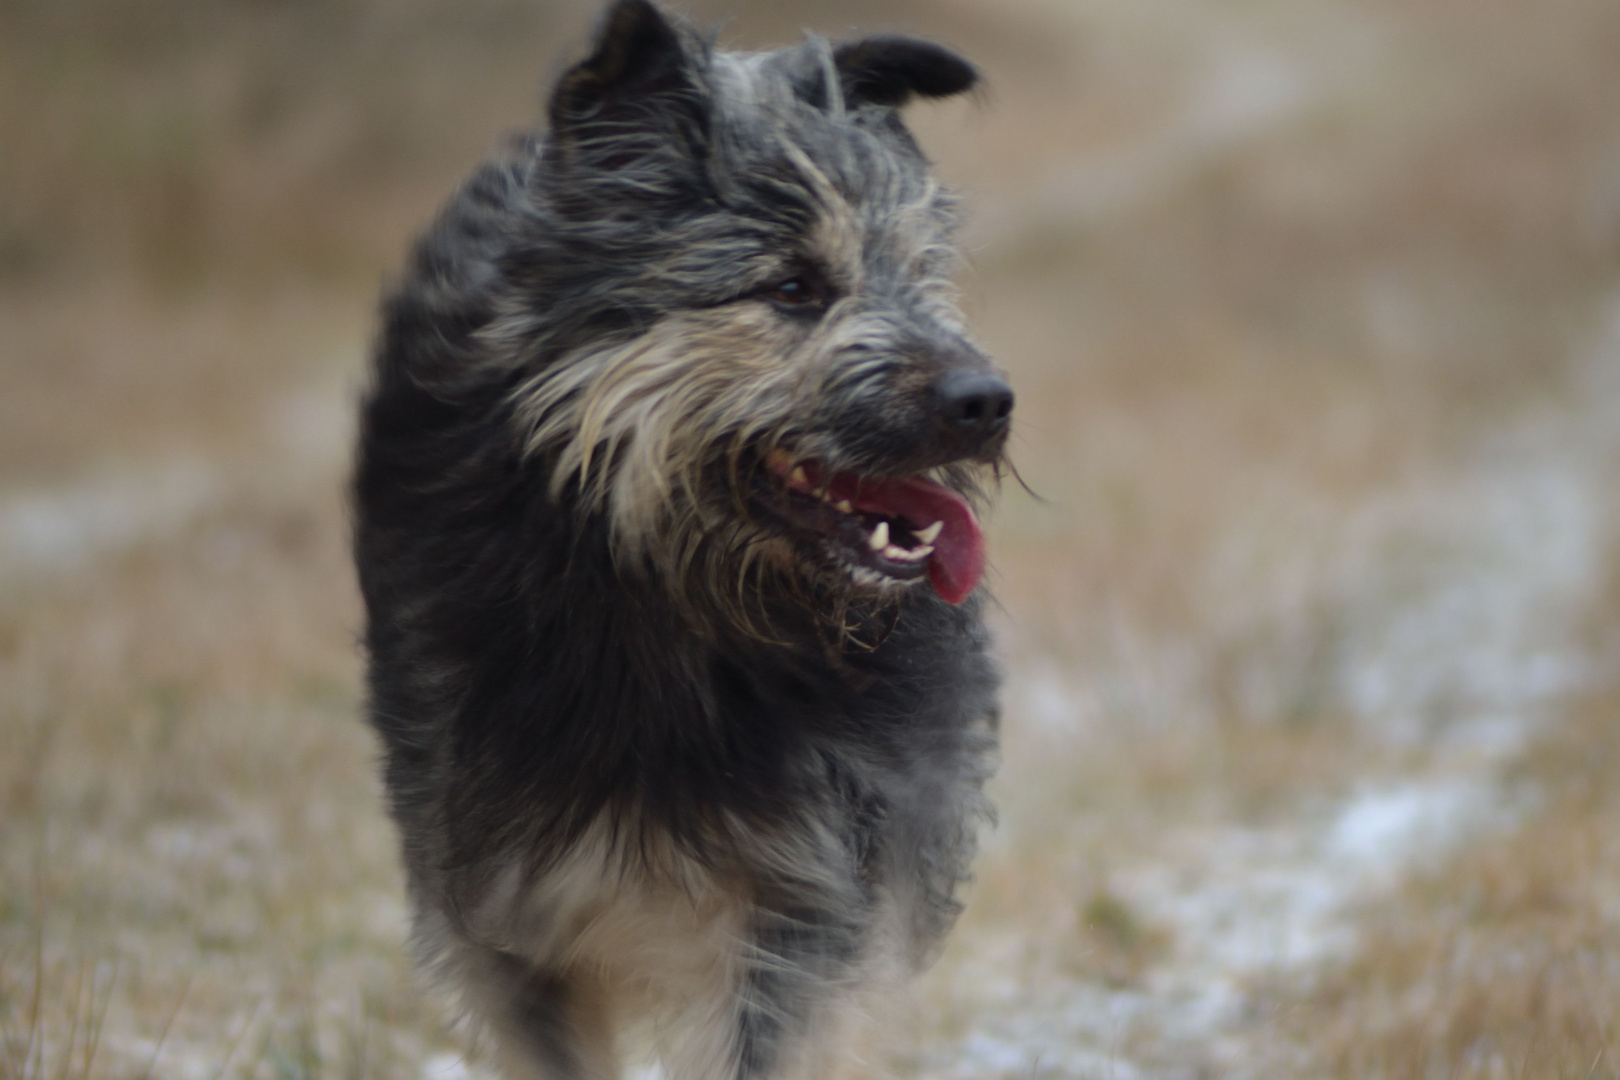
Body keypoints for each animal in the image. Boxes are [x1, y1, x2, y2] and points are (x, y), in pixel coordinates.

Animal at [356, 4, 1010, 1075]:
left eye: (918, 272)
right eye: (792, 284)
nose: (986, 402)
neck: (660, 590)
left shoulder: (808, 882)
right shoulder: (505, 903)